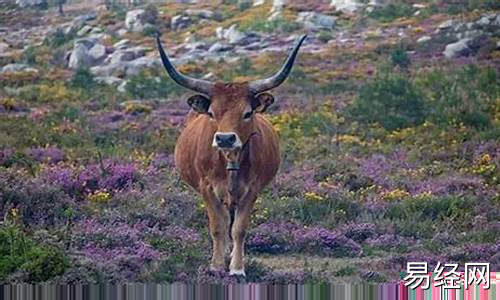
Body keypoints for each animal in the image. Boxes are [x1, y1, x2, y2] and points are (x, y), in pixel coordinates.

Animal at [157, 34, 304, 276]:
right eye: (212, 113)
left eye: (247, 112)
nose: (225, 138)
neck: (230, 161)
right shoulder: (207, 188)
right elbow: (218, 227)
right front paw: (216, 266)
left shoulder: (251, 190)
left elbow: (239, 229)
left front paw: (236, 268)